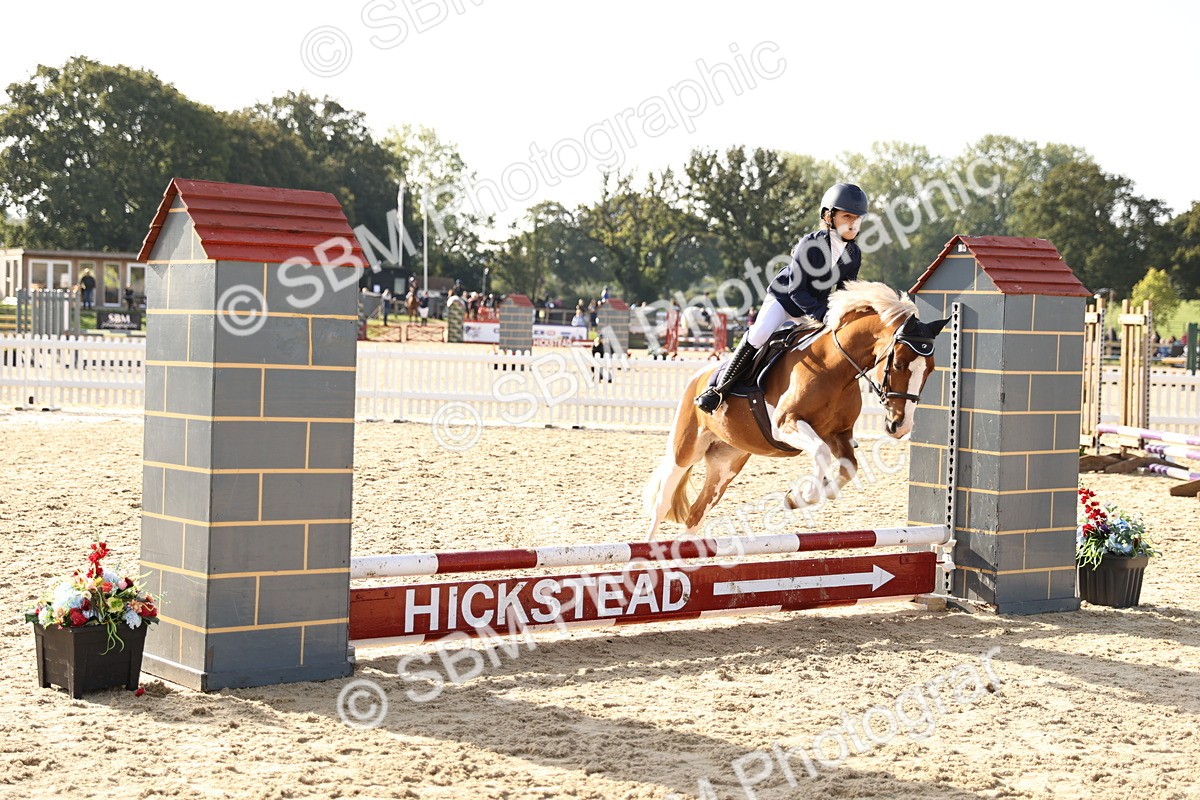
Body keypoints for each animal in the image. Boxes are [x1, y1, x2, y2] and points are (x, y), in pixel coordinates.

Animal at [643, 281, 948, 536]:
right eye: (897, 363)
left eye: (931, 370)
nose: (900, 426)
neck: (836, 367)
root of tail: (698, 376)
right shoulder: (786, 425)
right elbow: (821, 453)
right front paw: (800, 496)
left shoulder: (838, 434)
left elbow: (848, 467)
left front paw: (809, 494)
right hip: (685, 451)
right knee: (661, 504)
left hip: (726, 463)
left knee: (696, 514)